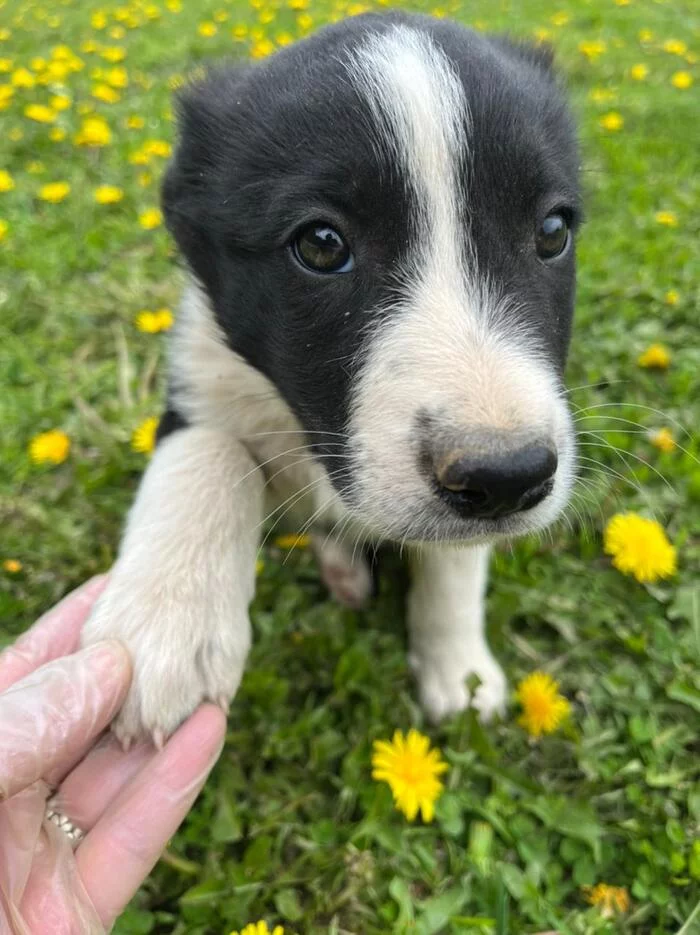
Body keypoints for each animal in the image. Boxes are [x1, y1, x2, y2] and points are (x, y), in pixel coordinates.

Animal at [80, 11, 580, 748]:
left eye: (551, 231)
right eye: (320, 244)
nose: (506, 477)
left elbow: (456, 564)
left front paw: (459, 674)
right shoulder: (200, 371)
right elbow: (210, 448)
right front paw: (163, 626)